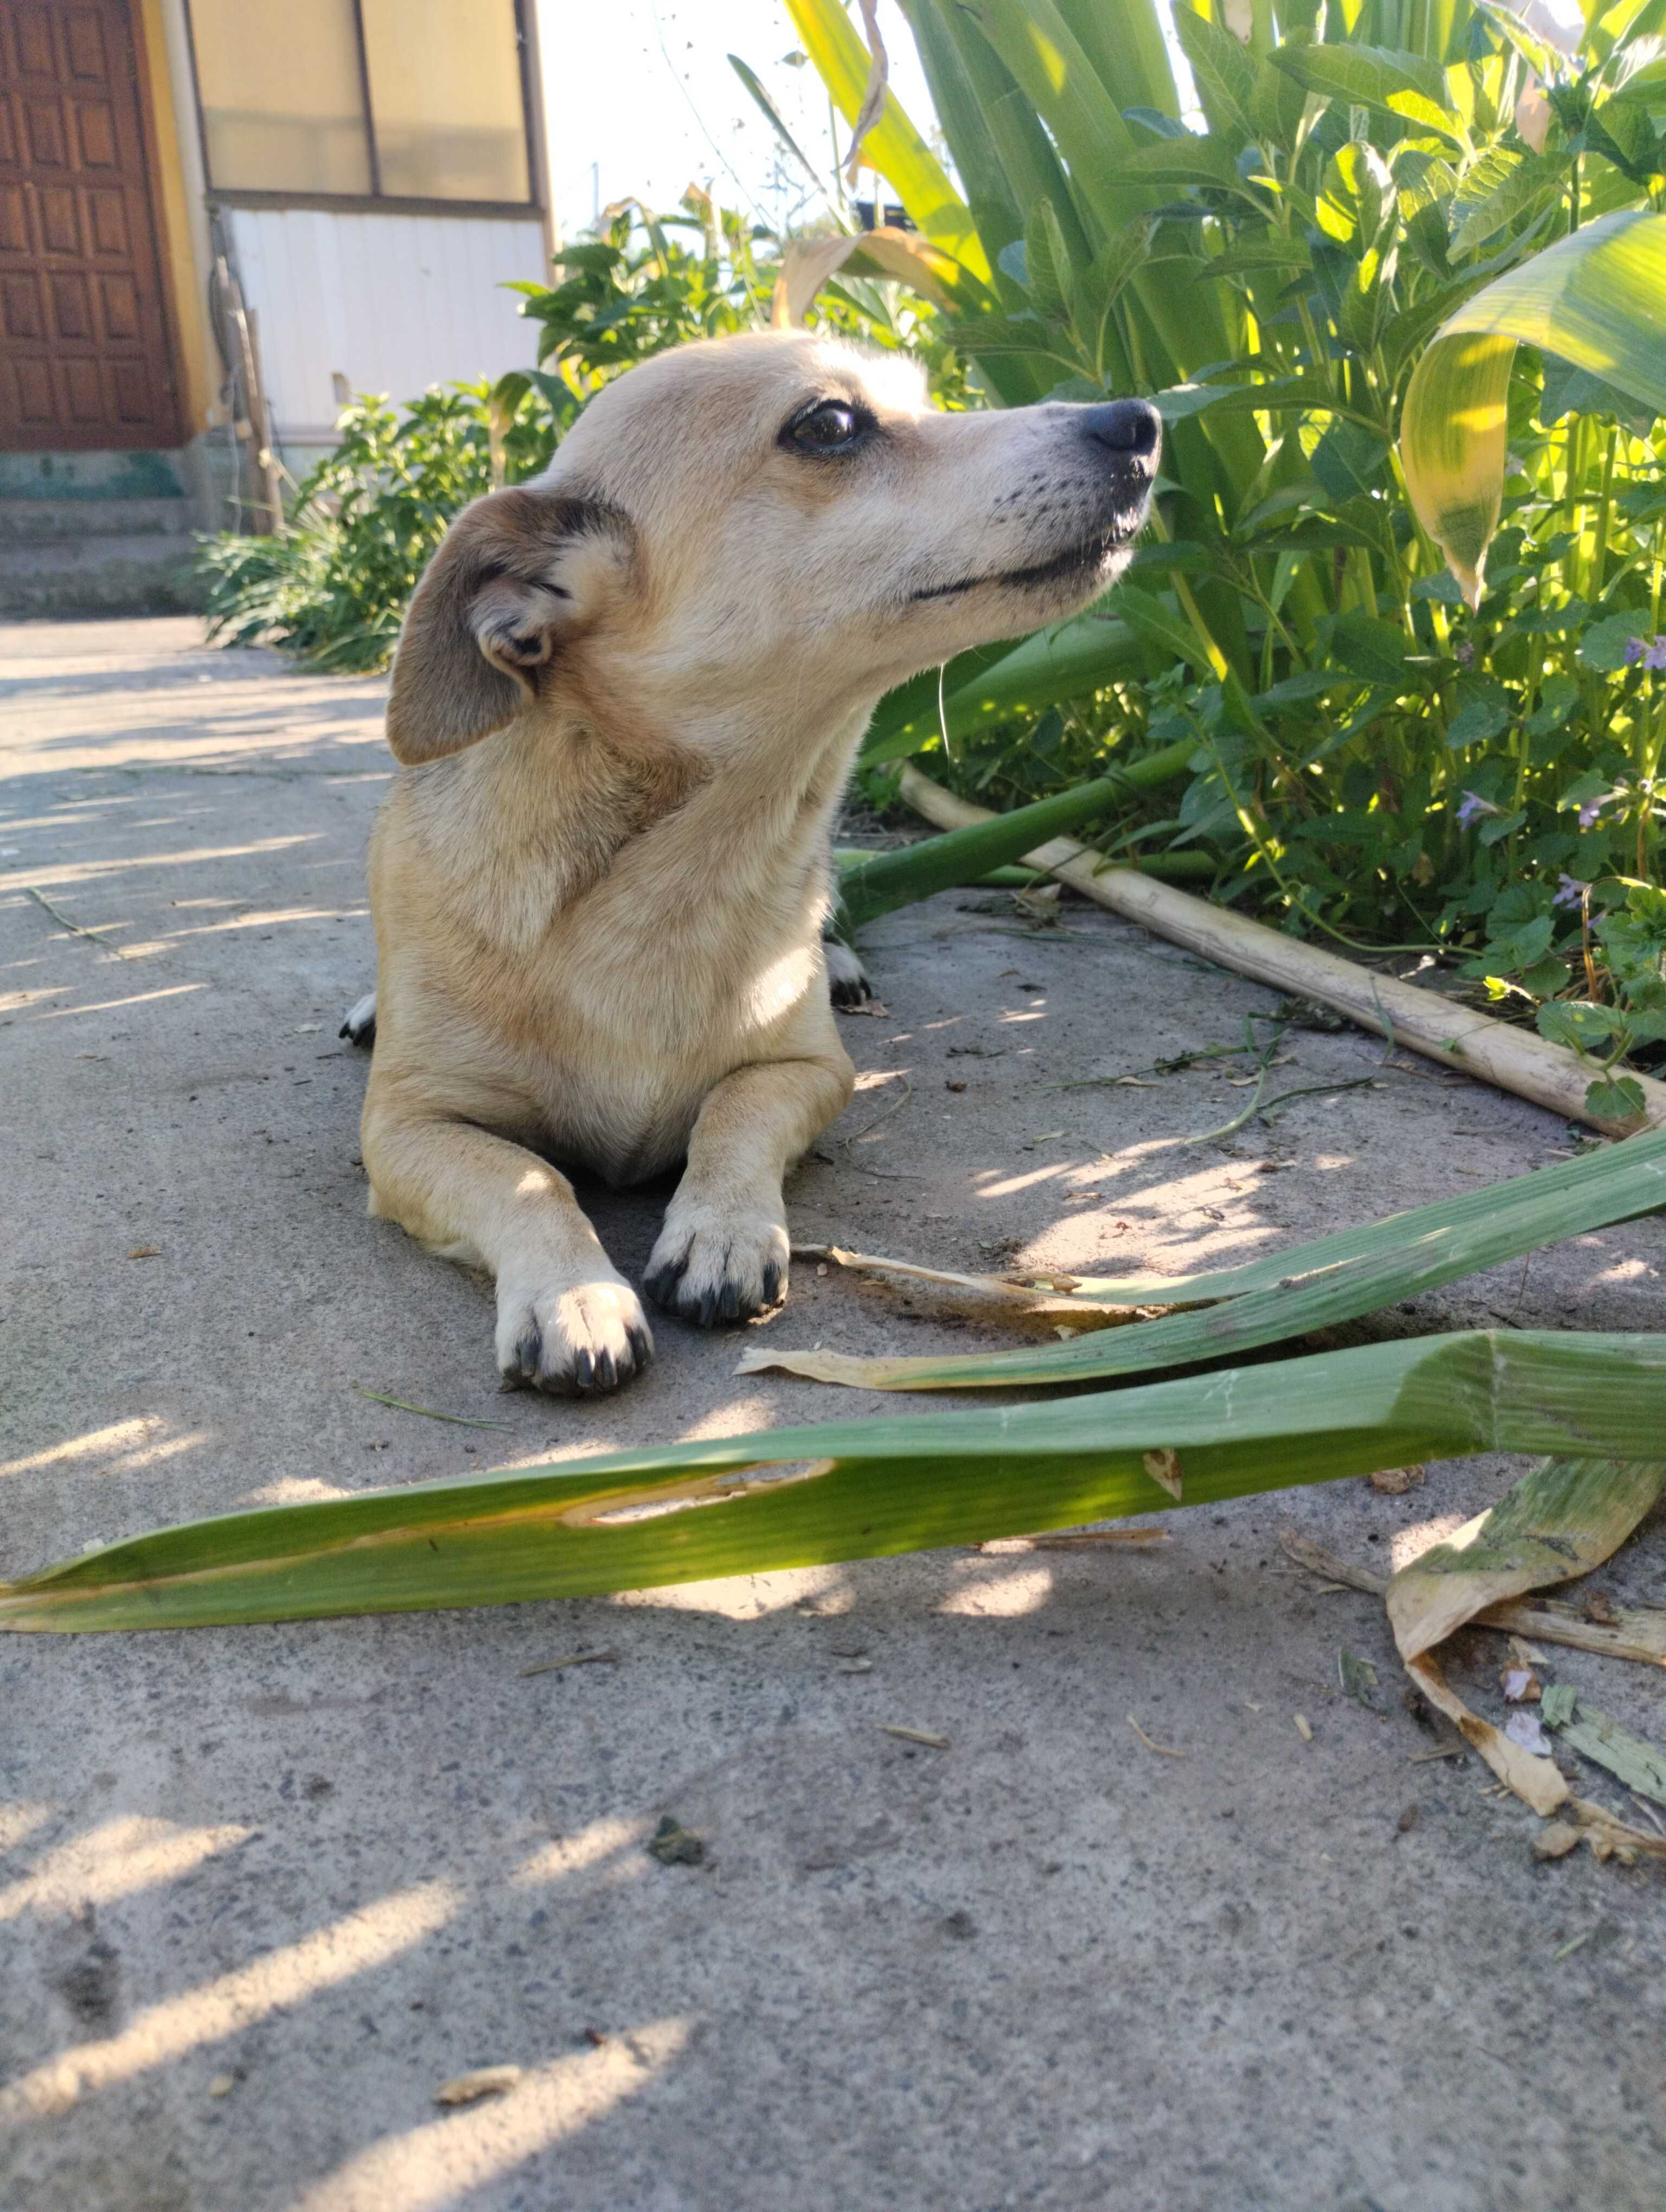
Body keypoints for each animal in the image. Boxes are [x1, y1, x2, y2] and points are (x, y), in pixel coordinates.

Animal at [351, 323, 1159, 1398]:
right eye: (830, 425)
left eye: (928, 397)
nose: (1142, 420)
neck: (679, 875)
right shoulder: (406, 1130)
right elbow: (529, 1176)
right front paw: (573, 1295)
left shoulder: (811, 1069)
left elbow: (733, 1108)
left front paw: (721, 1229)